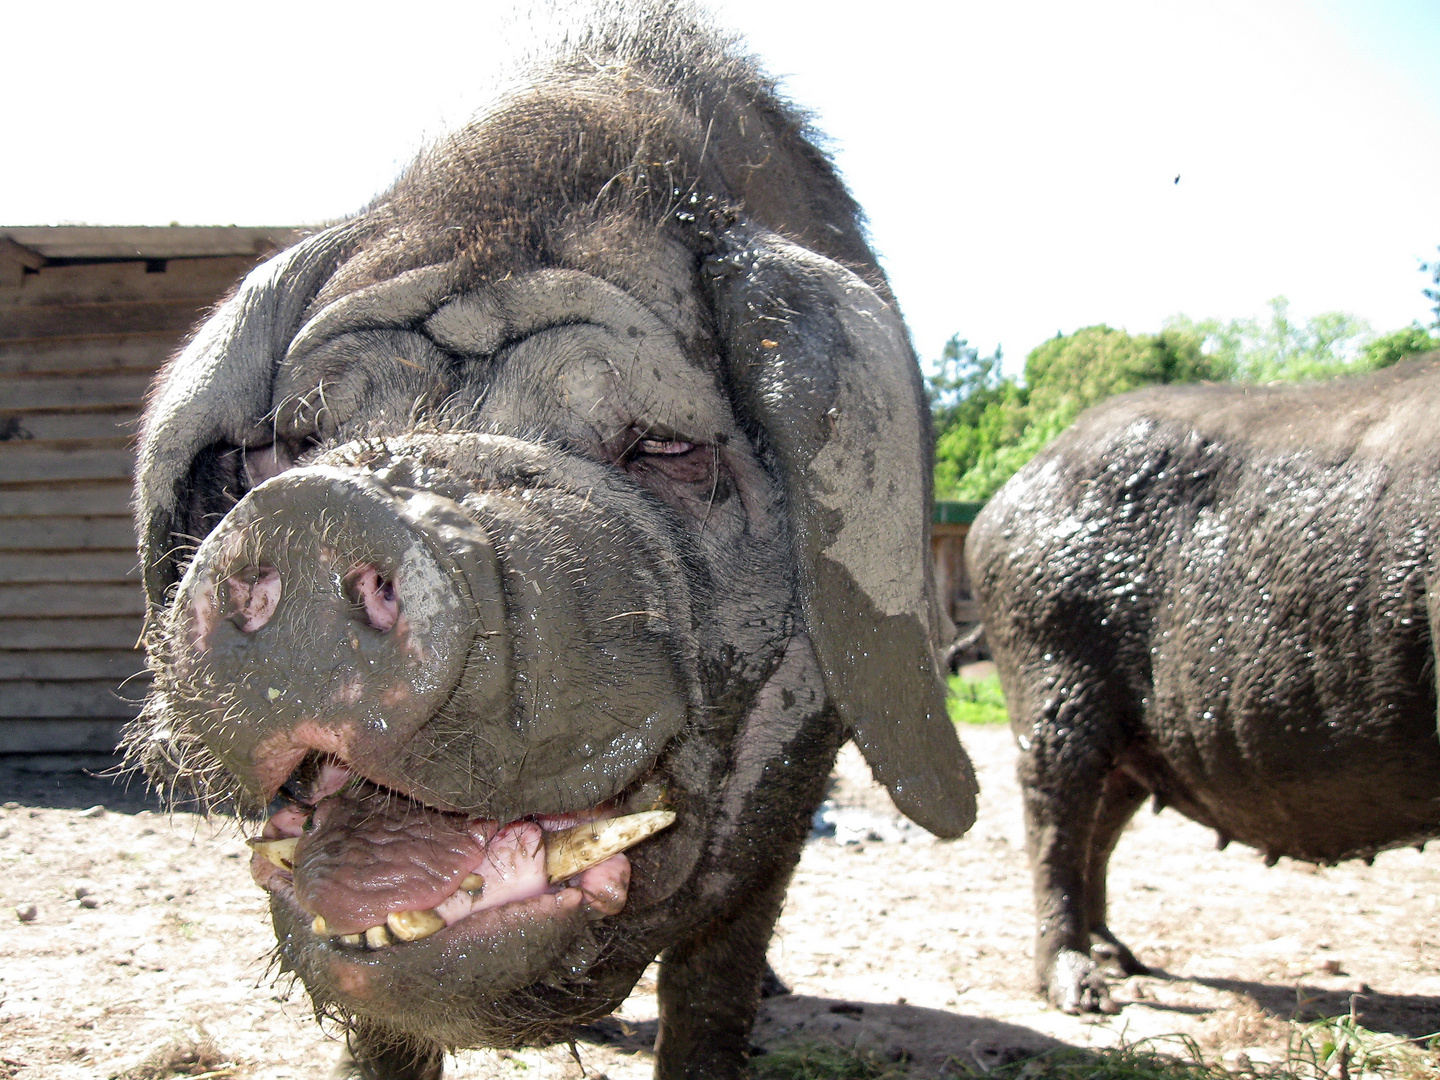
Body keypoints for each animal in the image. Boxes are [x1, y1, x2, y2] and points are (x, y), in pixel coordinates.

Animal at [967, 360, 1440, 1019]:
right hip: (1047, 652)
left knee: (1102, 820)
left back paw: (1123, 959)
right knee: (1052, 808)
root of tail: (995, 509)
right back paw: (1086, 994)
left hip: (1135, 735)